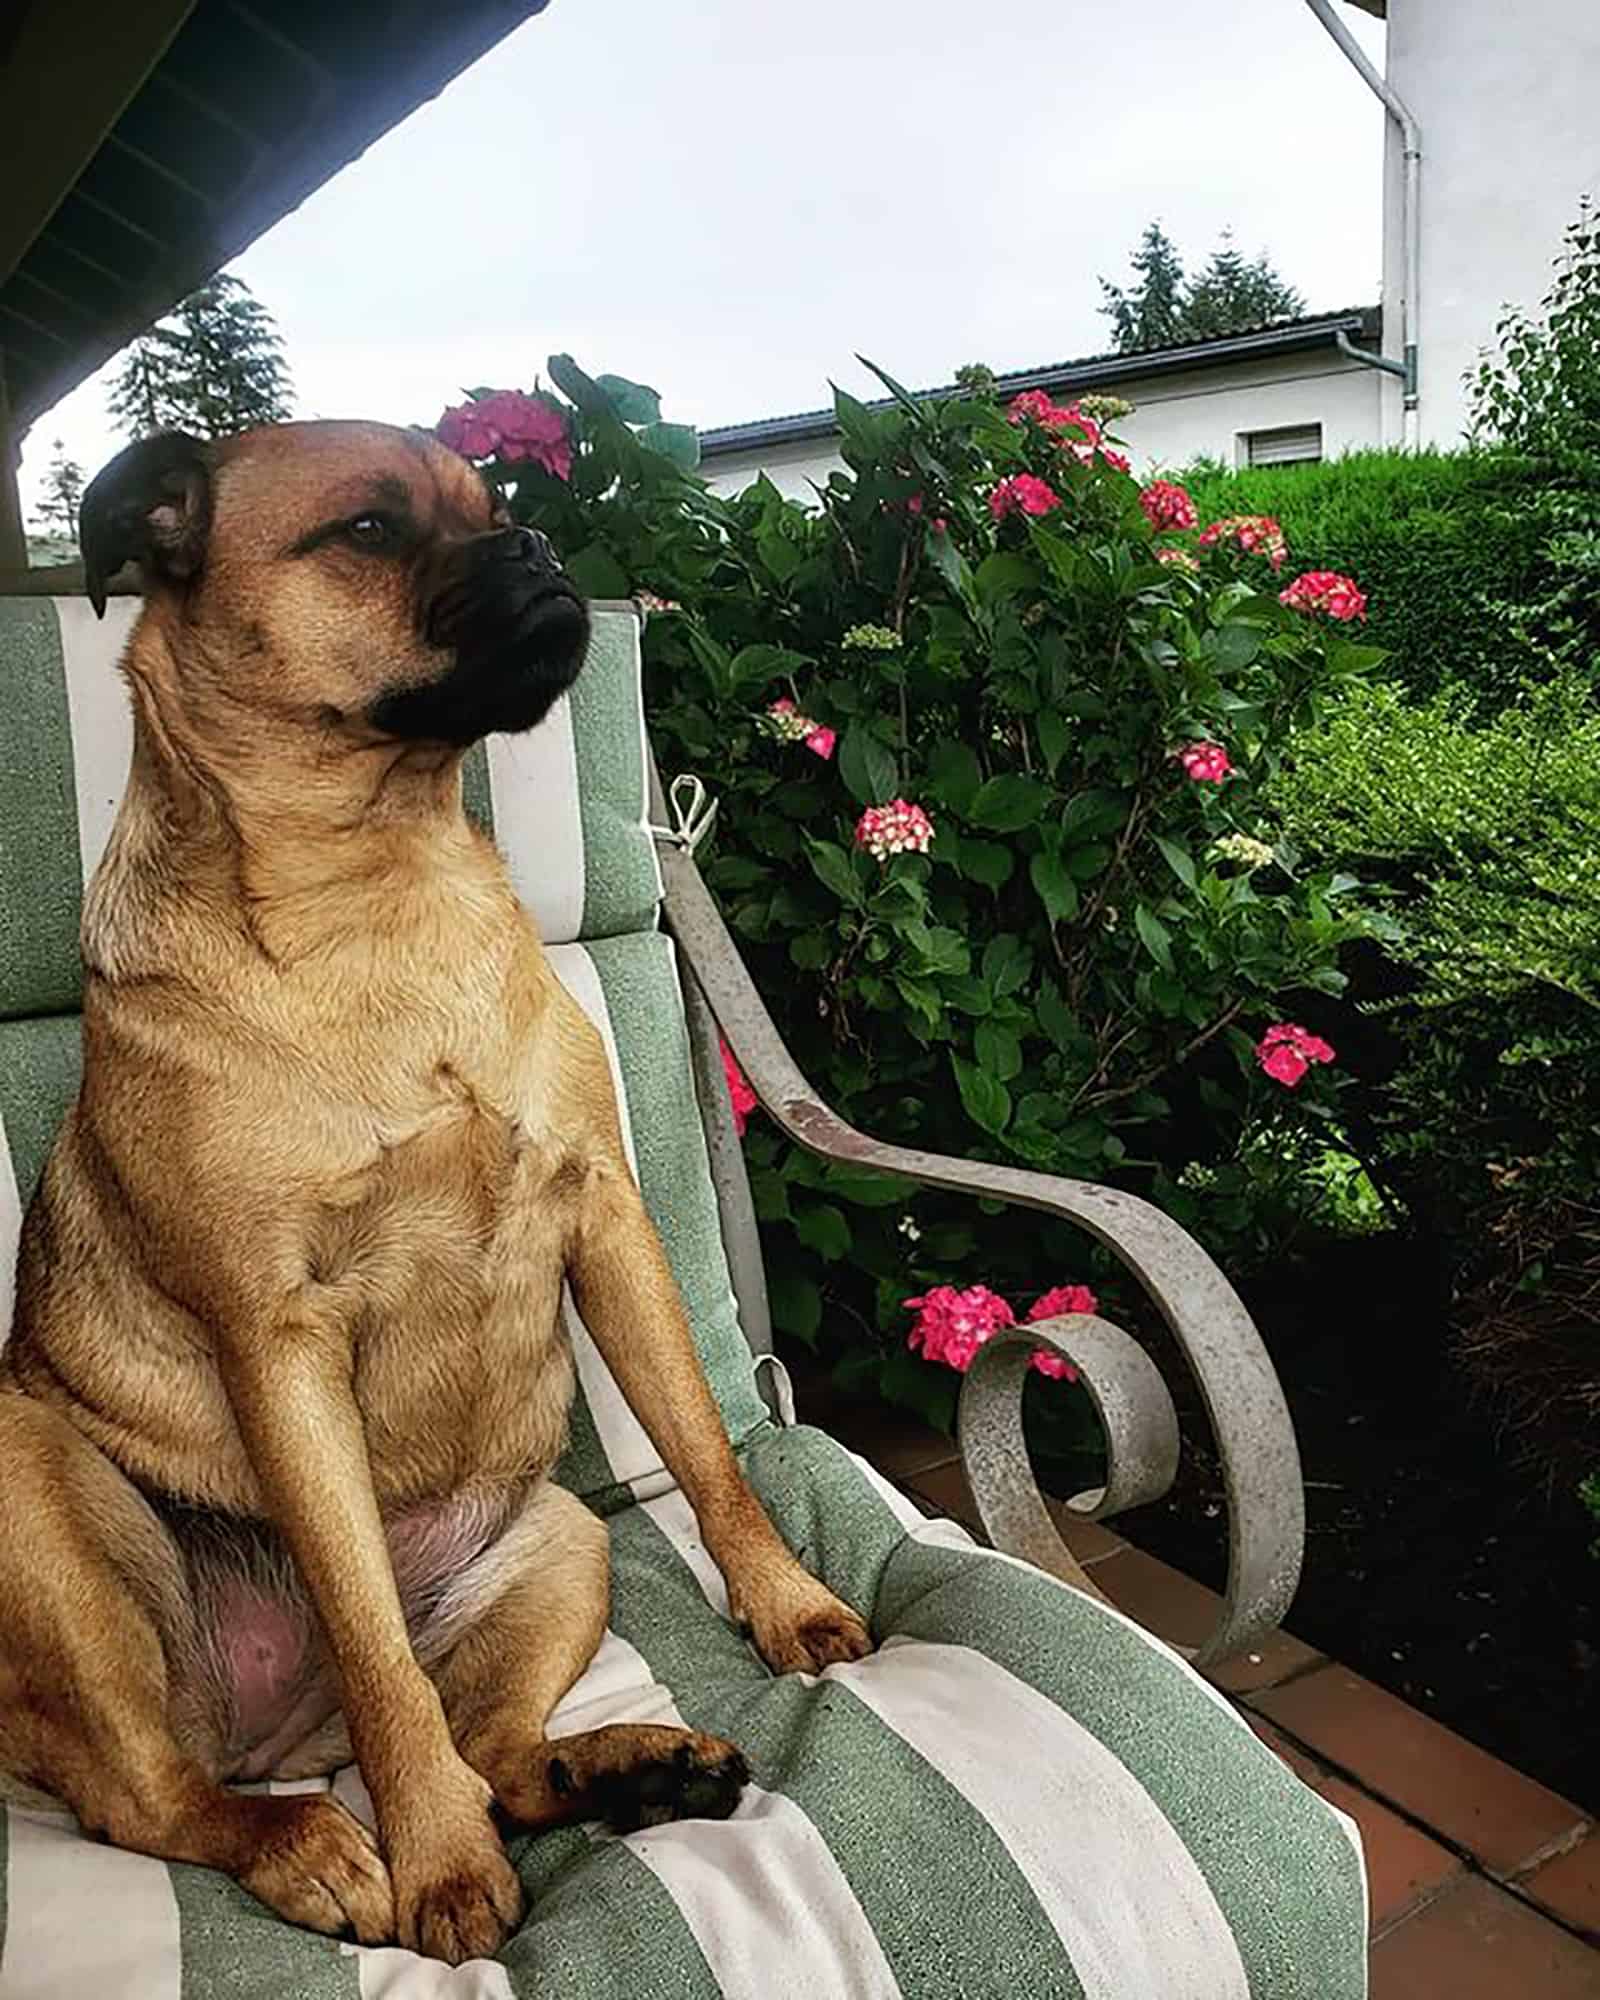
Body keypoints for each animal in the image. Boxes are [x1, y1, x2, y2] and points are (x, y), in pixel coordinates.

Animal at [0, 414, 868, 1960]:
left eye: (493, 502)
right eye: (366, 531)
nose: (536, 543)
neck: (379, 884)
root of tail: (287, 1737)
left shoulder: (606, 1219)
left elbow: (709, 1454)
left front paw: (784, 1604)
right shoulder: (279, 1340)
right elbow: (373, 1640)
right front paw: (438, 1863)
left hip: (561, 1540)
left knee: (501, 1755)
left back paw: (626, 1769)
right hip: (32, 1490)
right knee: (153, 1793)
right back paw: (307, 1841)